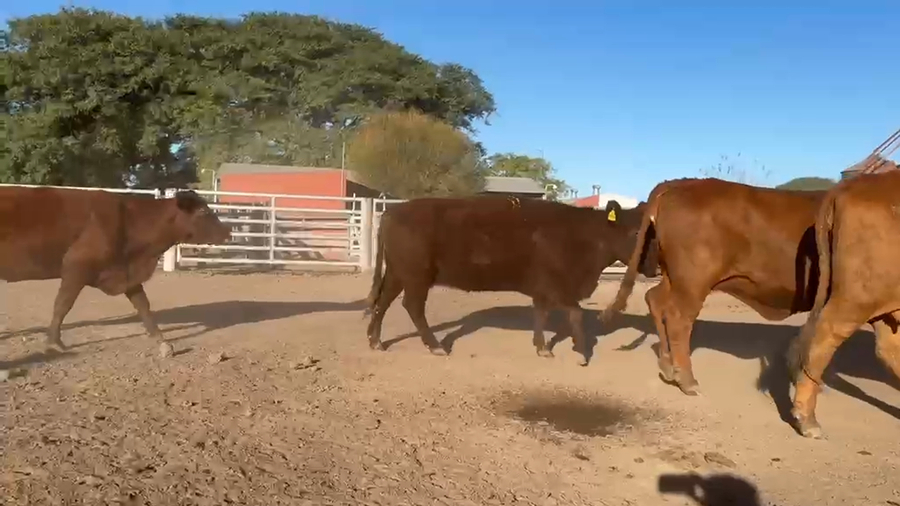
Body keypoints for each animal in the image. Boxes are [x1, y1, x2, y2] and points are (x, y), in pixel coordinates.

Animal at [0, 186, 231, 362]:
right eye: (202, 212)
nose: (228, 232)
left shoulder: (128, 275)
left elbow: (143, 306)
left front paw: (161, 341)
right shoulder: (76, 268)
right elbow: (62, 305)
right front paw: (54, 343)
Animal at [363, 195, 655, 365]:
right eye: (636, 231)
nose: (654, 267)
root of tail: (392, 212)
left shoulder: (543, 289)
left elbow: (541, 315)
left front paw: (542, 348)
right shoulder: (558, 286)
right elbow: (575, 313)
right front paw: (581, 352)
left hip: (398, 273)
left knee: (383, 302)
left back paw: (376, 341)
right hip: (416, 276)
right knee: (411, 306)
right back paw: (435, 347)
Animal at [600, 178, 827, 396]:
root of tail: (683, 182)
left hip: (673, 278)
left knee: (655, 299)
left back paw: (667, 364)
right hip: (693, 282)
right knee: (678, 319)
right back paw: (687, 381)